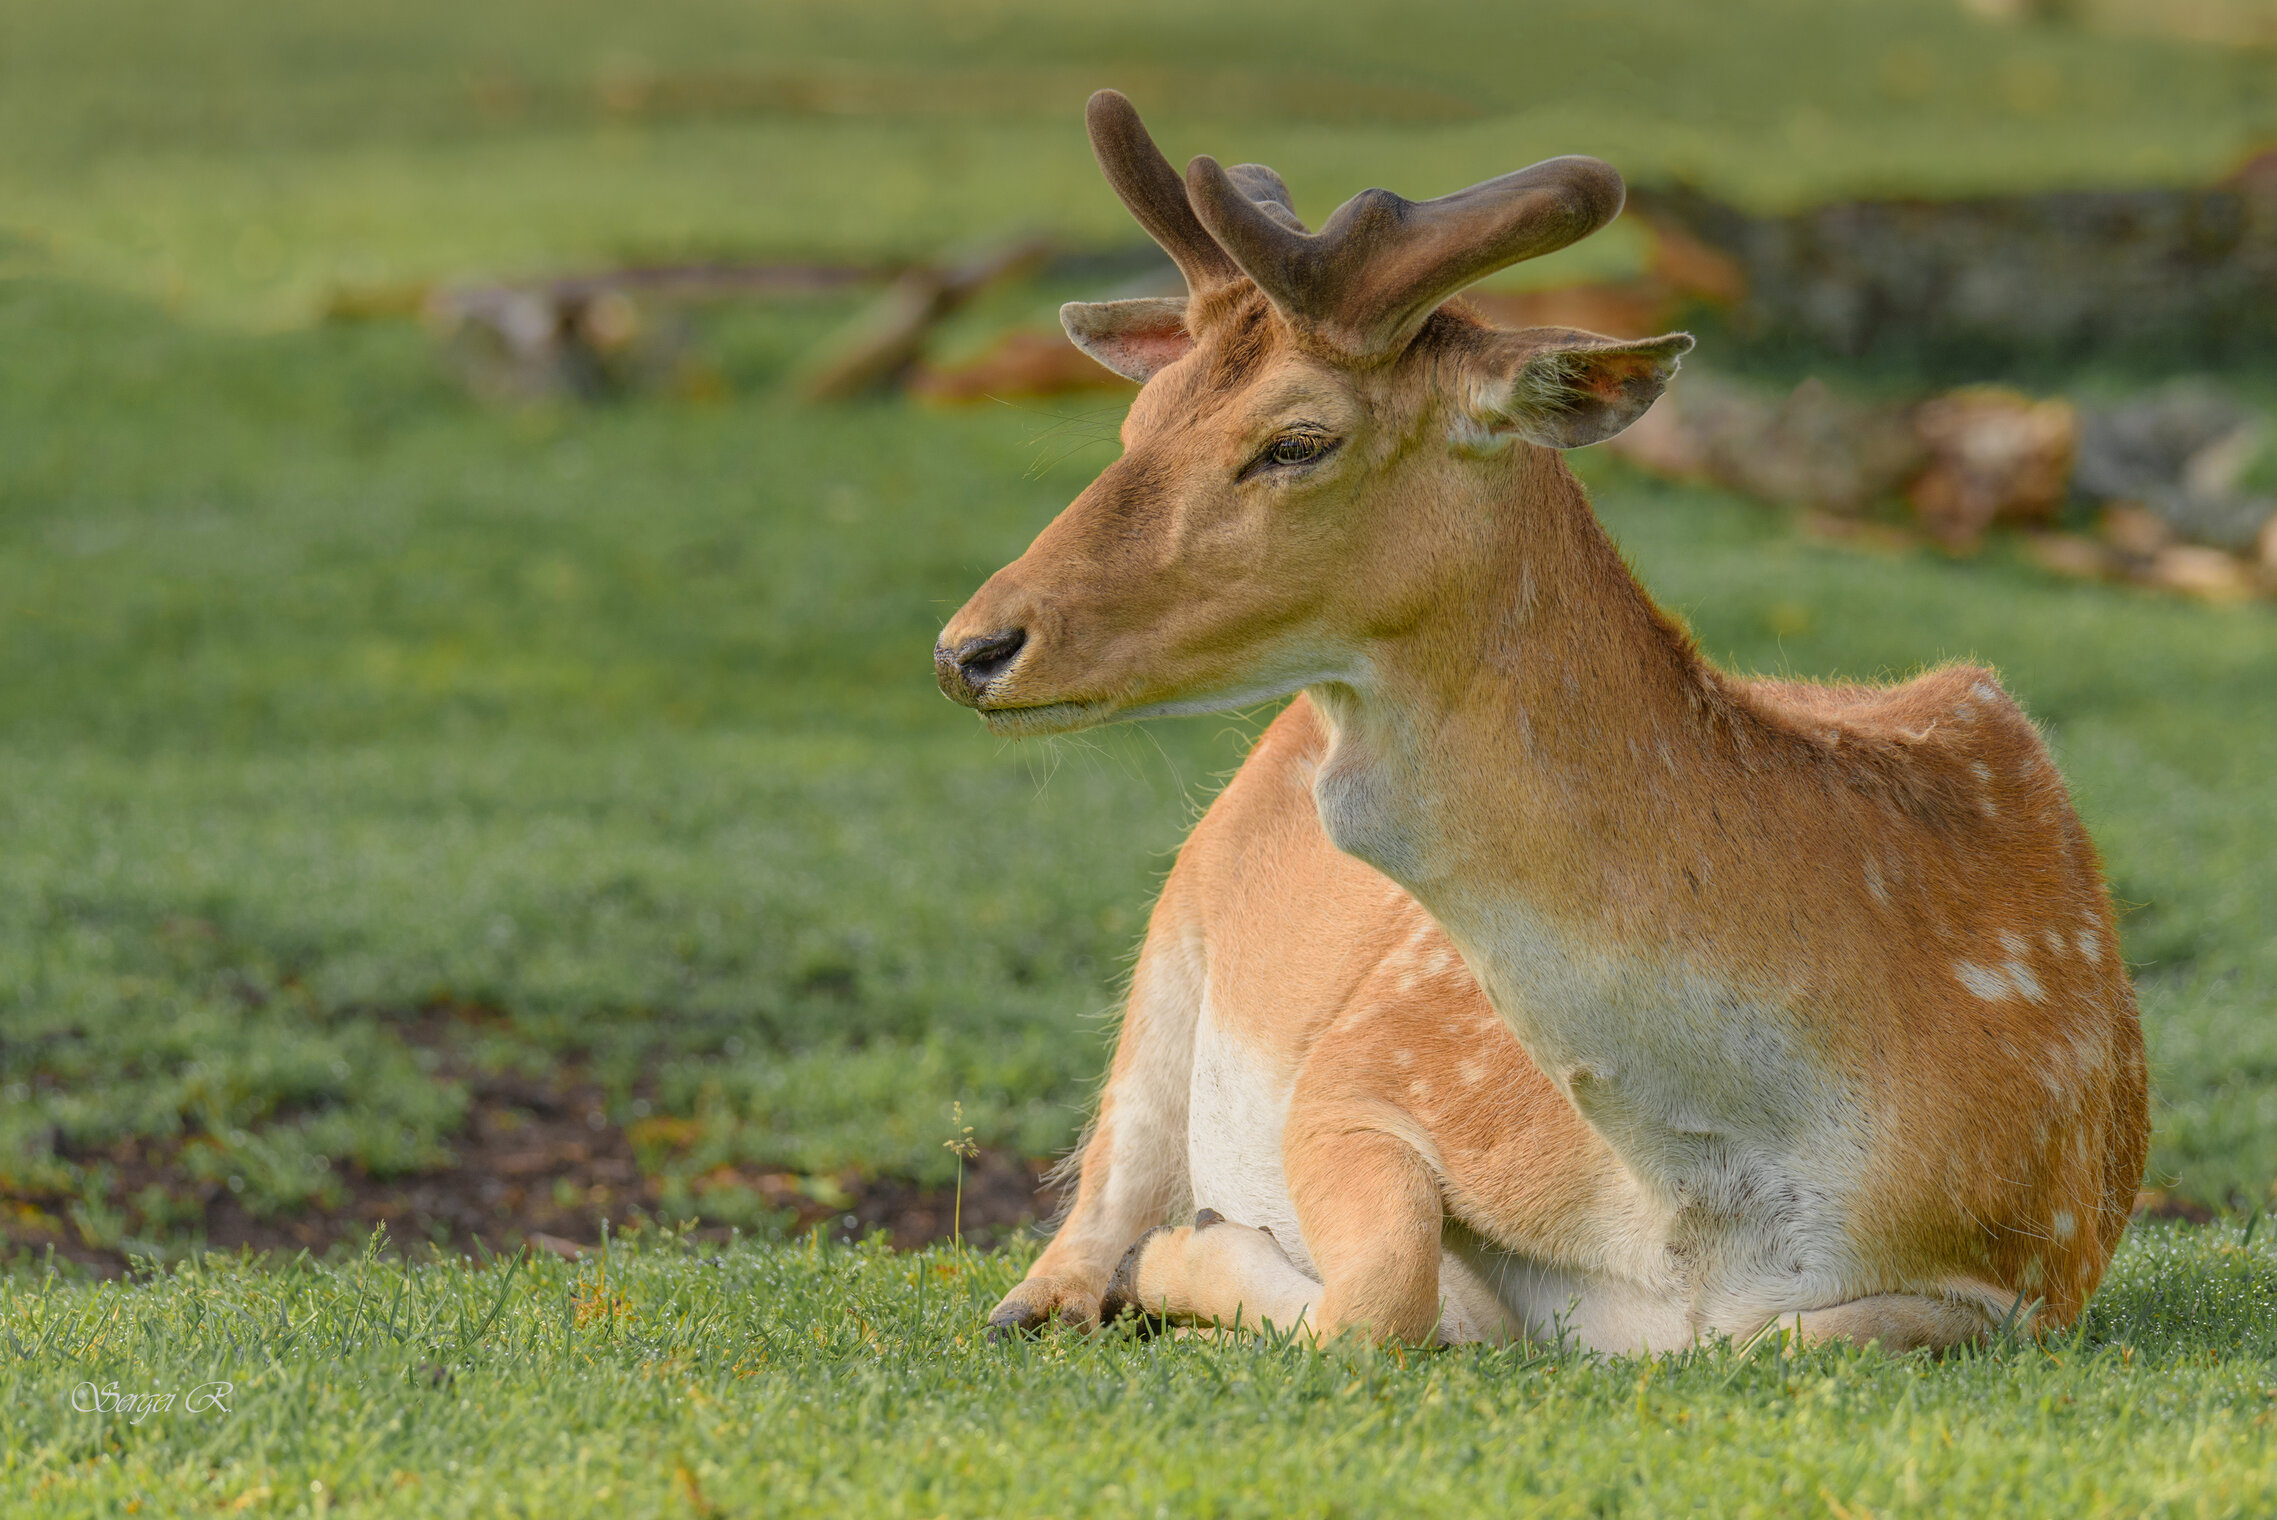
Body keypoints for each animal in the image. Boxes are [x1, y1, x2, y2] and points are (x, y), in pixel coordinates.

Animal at [929, 92, 2149, 1356]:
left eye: (1297, 439)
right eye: (1139, 418)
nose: (971, 648)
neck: (1705, 1196)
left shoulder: (2034, 1274)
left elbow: (1795, 1328)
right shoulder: (1369, 1068)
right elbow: (1385, 1288)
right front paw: (1192, 1247)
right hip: (1173, 938)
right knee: (1105, 1169)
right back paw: (1065, 1287)